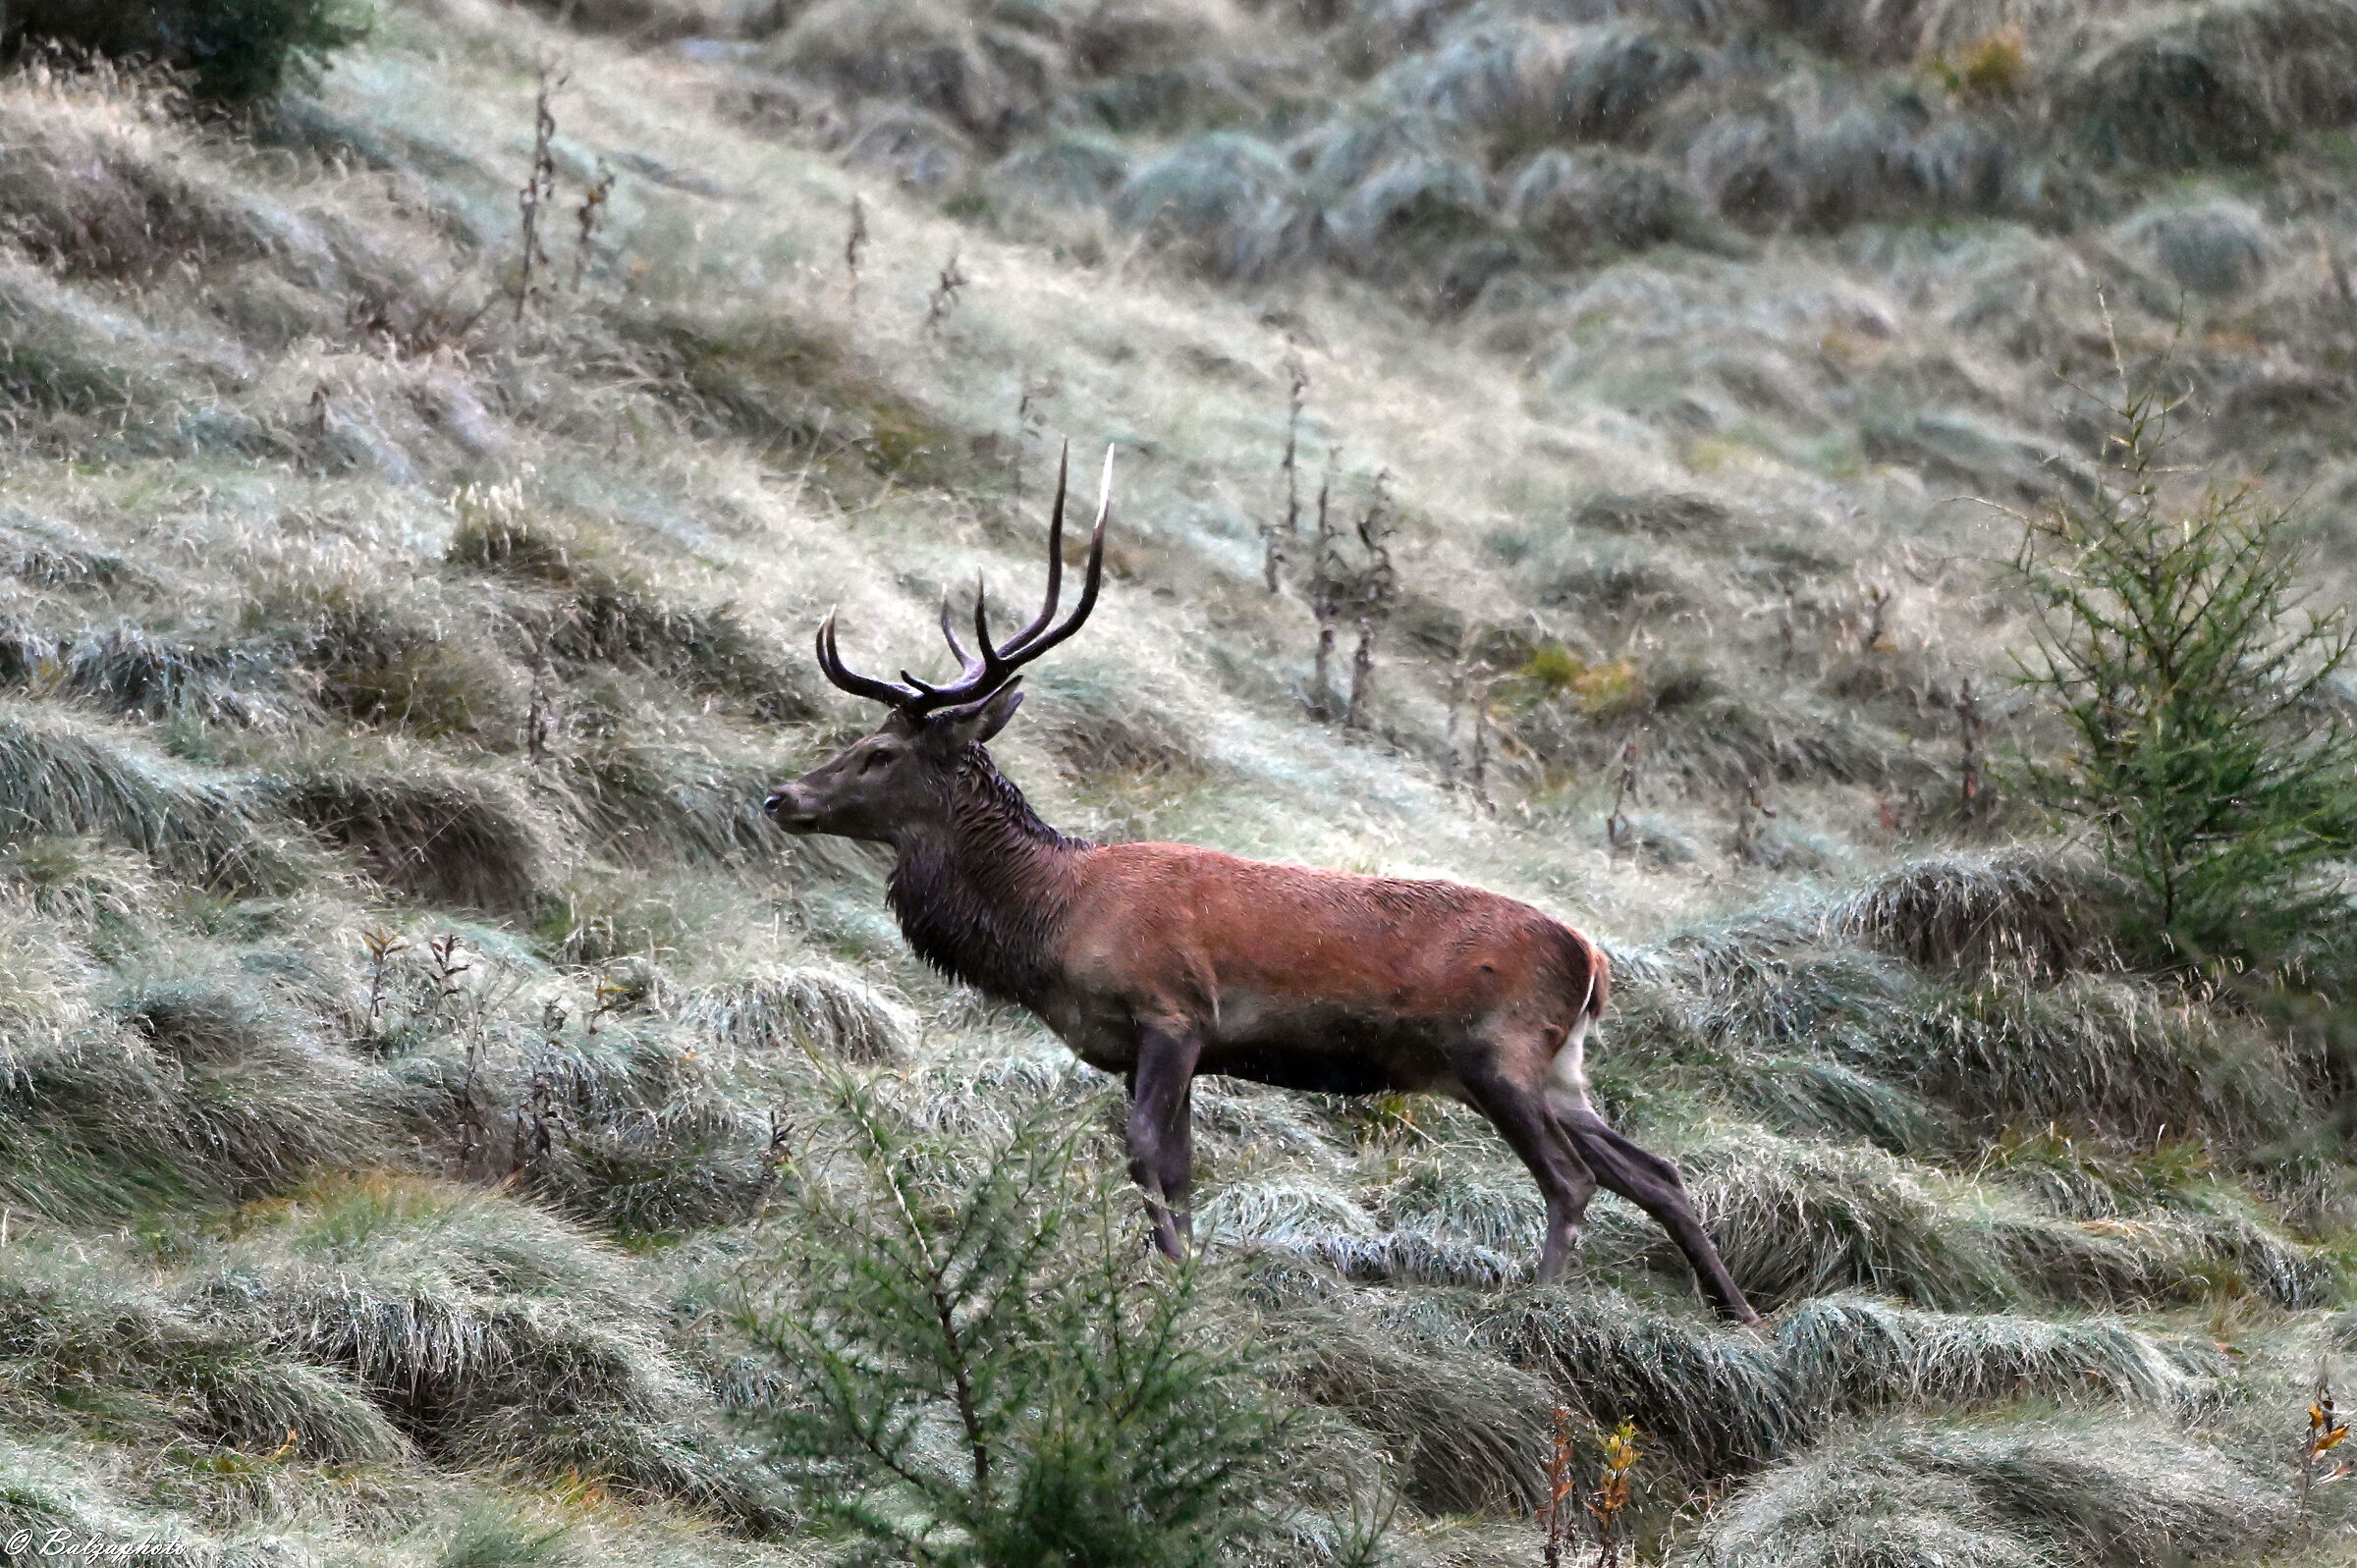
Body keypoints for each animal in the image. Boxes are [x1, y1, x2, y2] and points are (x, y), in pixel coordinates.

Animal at [763, 448, 1760, 1323]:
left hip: (1498, 1051)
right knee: (1656, 1169)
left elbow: (1147, 1155)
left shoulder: (1172, 1009)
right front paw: (1183, 1269)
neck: (1051, 922)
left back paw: (1540, 1301)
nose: (782, 796)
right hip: (1560, 1066)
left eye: (877, 751)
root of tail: (1591, 958)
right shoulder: (1173, 1043)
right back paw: (1737, 1309)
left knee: (1574, 1177)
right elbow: (1179, 1164)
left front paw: (1170, 1280)